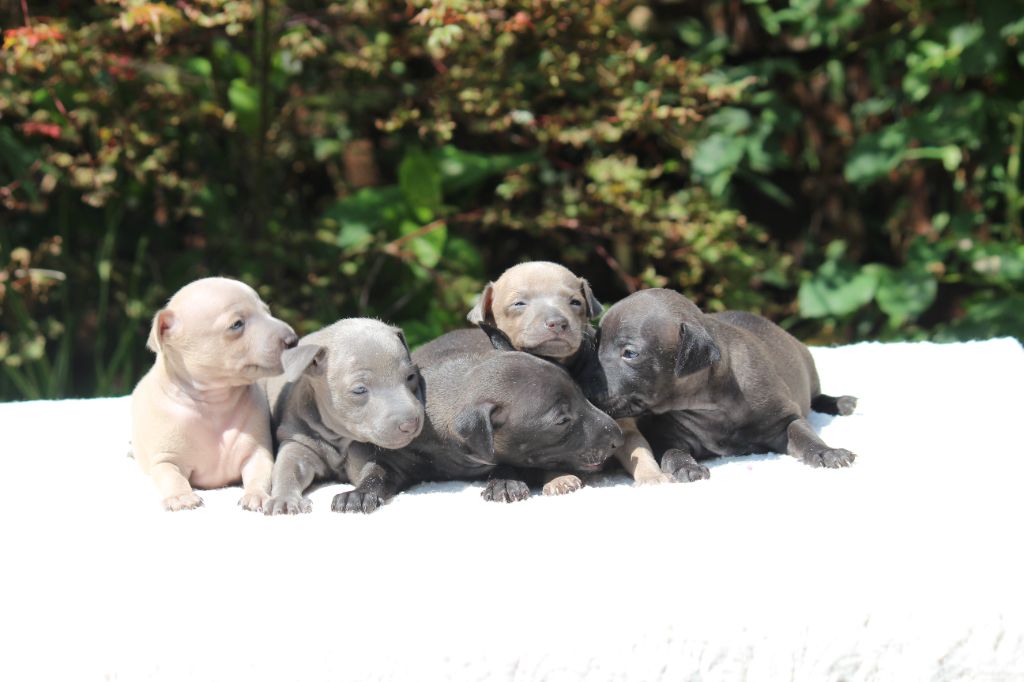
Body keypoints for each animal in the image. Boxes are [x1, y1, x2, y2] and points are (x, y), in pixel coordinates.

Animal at [129, 276, 296, 509]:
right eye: (237, 324)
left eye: (268, 312)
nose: (293, 340)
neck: (215, 401)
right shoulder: (166, 458)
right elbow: (170, 475)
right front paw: (181, 496)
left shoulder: (257, 451)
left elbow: (261, 472)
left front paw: (256, 495)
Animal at [266, 315, 425, 512]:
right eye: (359, 390)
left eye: (411, 376)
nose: (410, 424)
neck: (339, 437)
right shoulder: (297, 443)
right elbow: (287, 470)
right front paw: (284, 499)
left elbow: (376, 473)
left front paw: (359, 495)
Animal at [337, 329, 622, 509]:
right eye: (562, 420)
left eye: (582, 394)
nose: (618, 438)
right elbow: (375, 470)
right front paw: (360, 493)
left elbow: (506, 464)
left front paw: (504, 482)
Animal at [468, 260, 667, 489]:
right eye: (519, 304)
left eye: (575, 302)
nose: (557, 322)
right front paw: (559, 479)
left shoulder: (621, 424)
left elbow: (639, 449)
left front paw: (652, 475)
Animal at [585, 286, 856, 477]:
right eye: (595, 344)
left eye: (630, 353)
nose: (582, 383)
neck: (710, 405)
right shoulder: (663, 434)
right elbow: (672, 451)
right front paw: (685, 466)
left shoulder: (783, 418)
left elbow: (804, 434)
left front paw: (827, 452)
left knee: (817, 396)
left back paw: (841, 403)